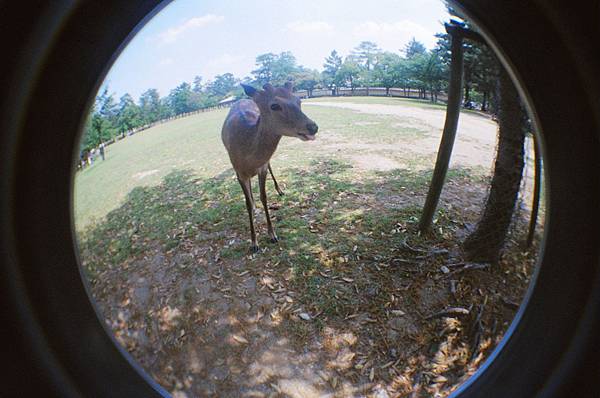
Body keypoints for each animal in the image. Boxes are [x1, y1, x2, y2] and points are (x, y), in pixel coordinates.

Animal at [221, 81, 318, 252]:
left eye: (298, 100)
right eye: (274, 105)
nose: (313, 127)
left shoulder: (262, 167)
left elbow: (264, 197)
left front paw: (272, 235)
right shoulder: (238, 172)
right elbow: (247, 203)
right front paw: (254, 243)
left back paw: (280, 190)